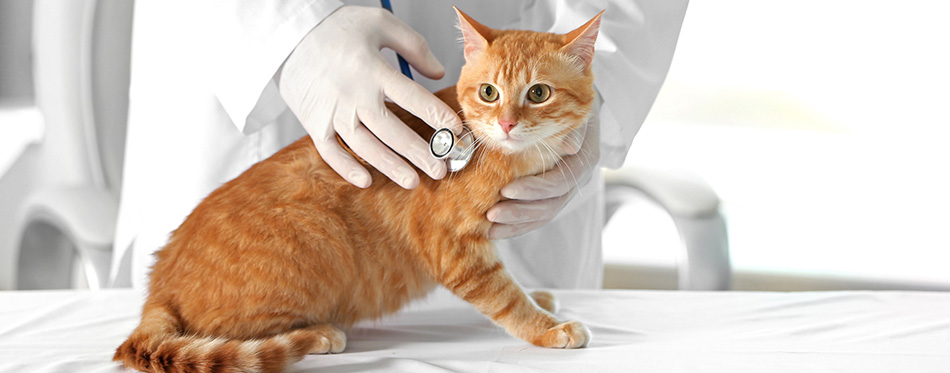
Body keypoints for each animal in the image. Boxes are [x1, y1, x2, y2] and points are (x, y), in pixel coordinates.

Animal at [113, 7, 604, 370]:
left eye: (538, 93)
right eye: (489, 92)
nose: (506, 123)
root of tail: (157, 286)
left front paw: (540, 299)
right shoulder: (453, 247)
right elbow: (505, 298)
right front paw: (546, 327)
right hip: (316, 239)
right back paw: (316, 334)